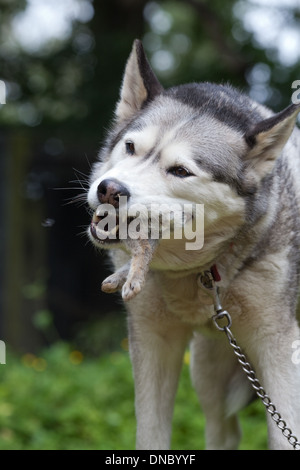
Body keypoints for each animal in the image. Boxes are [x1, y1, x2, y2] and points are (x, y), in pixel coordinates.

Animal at [86, 38, 300, 450]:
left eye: (181, 171)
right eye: (130, 147)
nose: (109, 190)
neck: (200, 273)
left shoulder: (279, 355)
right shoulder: (153, 341)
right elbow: (150, 436)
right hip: (210, 370)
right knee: (223, 431)